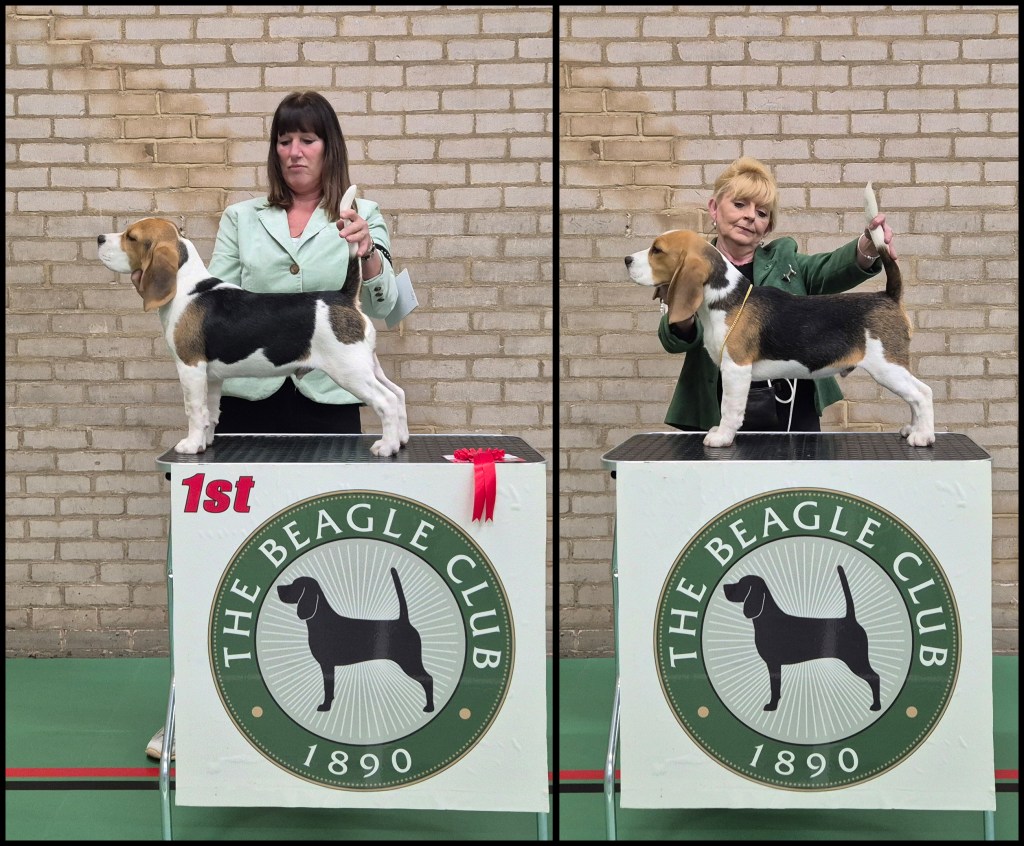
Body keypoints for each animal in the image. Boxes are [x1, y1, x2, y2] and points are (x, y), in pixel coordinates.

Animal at [97, 185, 409, 457]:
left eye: (131, 237)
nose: (99, 238)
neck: (186, 285)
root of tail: (343, 297)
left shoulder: (191, 367)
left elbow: (194, 410)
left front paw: (191, 445)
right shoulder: (211, 377)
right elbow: (211, 412)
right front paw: (205, 443)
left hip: (349, 370)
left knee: (386, 400)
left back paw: (386, 447)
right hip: (366, 364)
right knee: (398, 393)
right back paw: (401, 440)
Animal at [277, 569, 435, 713]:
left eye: (295, 585)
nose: (278, 587)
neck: (321, 620)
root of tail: (404, 621)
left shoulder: (327, 664)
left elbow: (328, 688)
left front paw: (325, 706)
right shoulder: (328, 666)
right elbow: (330, 688)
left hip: (411, 662)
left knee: (428, 679)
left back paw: (429, 707)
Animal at [723, 566, 881, 712]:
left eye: (741, 583)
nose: (724, 586)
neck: (767, 618)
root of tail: (851, 619)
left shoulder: (773, 663)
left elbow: (774, 687)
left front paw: (772, 706)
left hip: (857, 661)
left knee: (875, 677)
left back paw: (876, 706)